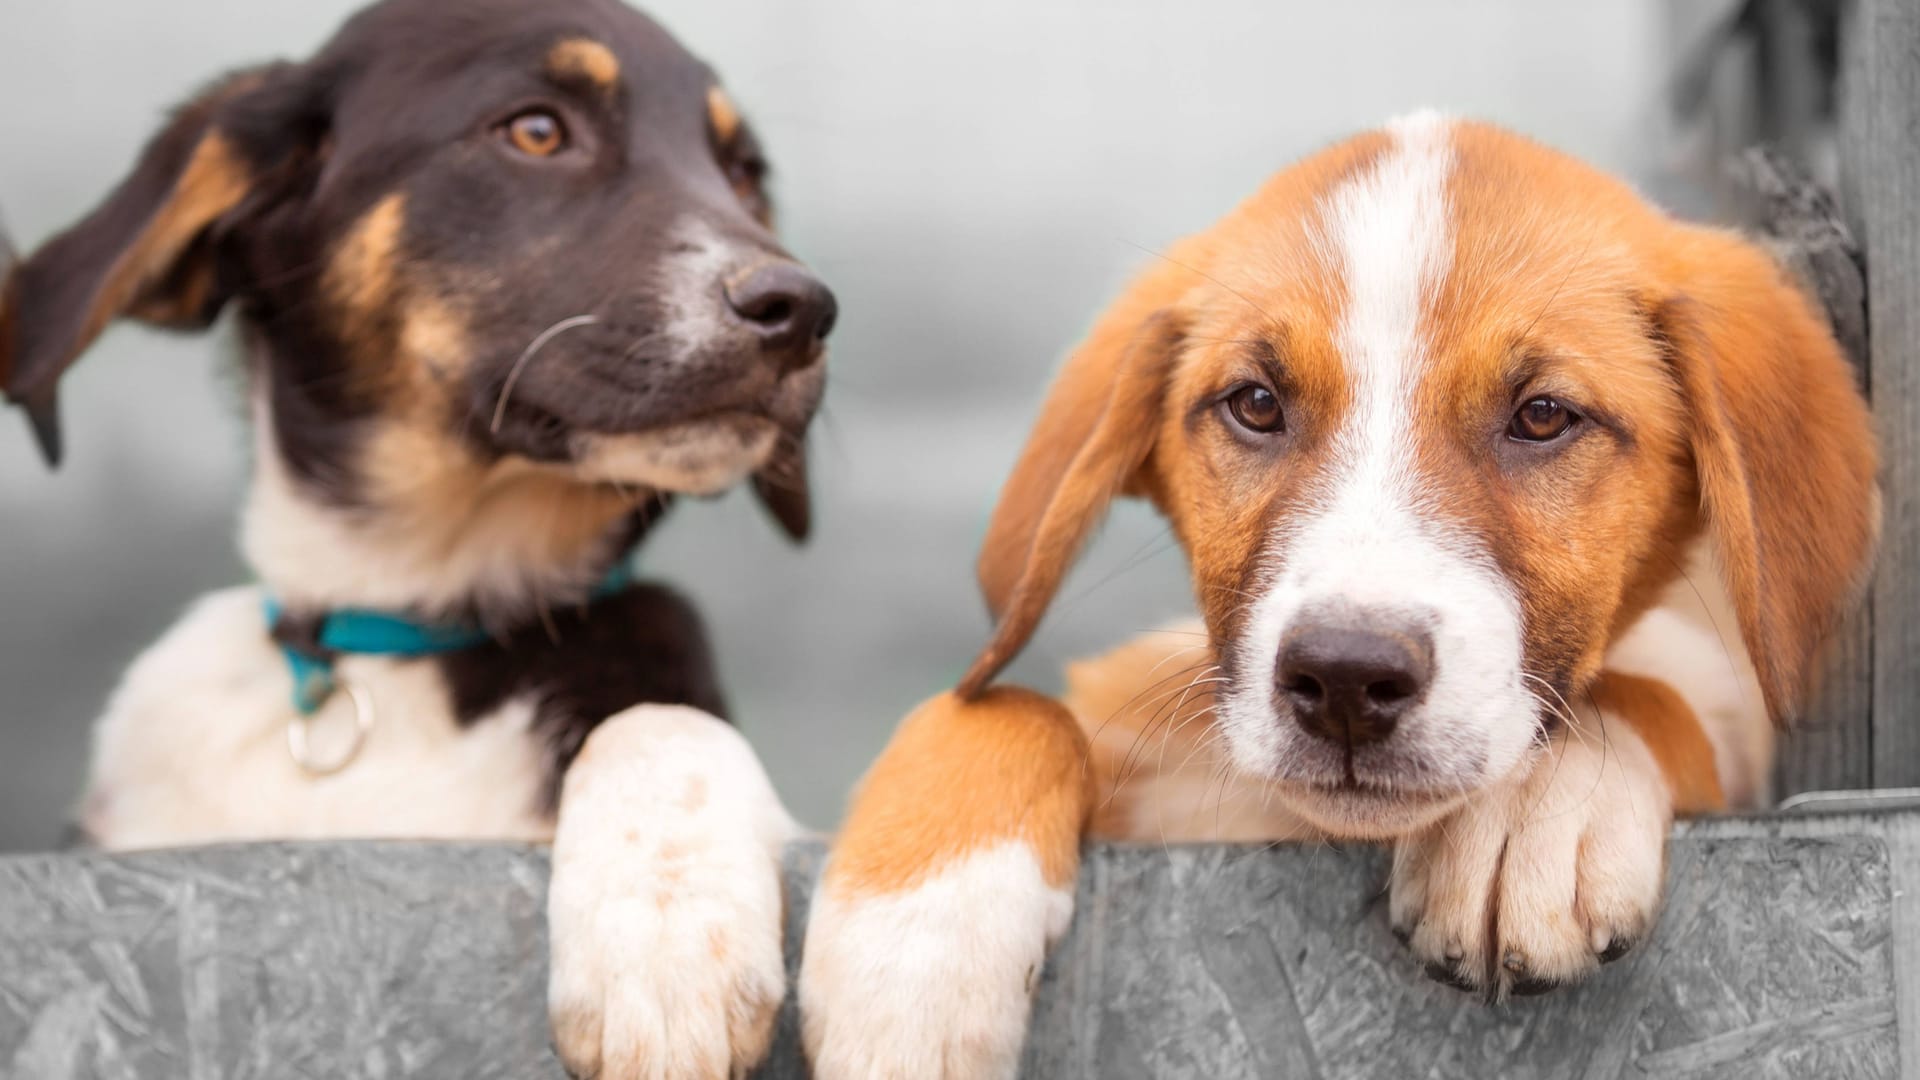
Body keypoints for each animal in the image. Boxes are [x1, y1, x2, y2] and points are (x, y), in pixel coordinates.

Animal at [7, 2, 833, 1076]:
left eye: (742, 174)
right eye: (536, 131)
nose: (804, 311)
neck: (408, 624)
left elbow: (661, 719)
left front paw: (667, 942)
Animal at [798, 113, 1873, 1068]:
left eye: (1542, 416)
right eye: (1255, 404)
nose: (1348, 680)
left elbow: (1645, 691)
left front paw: (1536, 804)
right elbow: (994, 706)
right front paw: (910, 955)